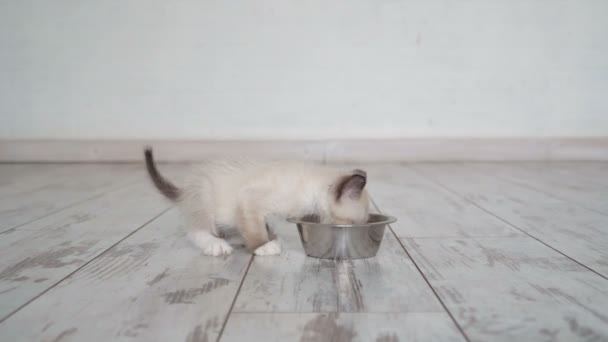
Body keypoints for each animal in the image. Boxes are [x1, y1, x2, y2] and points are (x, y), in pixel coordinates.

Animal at [144, 148, 370, 256]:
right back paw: (216, 244)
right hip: (205, 196)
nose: (360, 229)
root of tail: (185, 189)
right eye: (355, 224)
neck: (311, 188)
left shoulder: (258, 212)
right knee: (196, 231)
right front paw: (264, 246)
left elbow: (261, 225)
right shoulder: (250, 199)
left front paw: (271, 237)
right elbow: (255, 230)